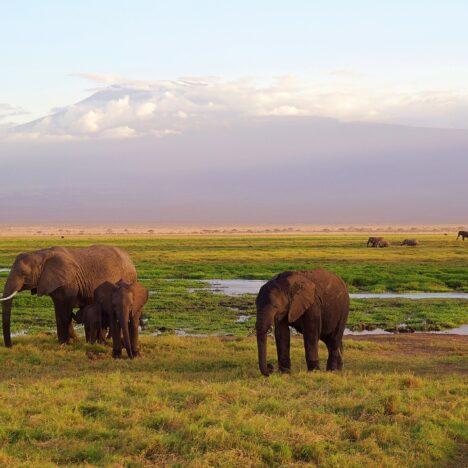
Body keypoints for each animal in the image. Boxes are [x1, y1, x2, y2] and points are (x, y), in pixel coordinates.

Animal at [0, 245, 137, 348]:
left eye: (23, 274)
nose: (10, 346)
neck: (41, 254)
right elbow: (58, 311)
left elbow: (65, 311)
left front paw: (67, 342)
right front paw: (65, 341)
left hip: (127, 279)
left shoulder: (69, 283)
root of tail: (130, 260)